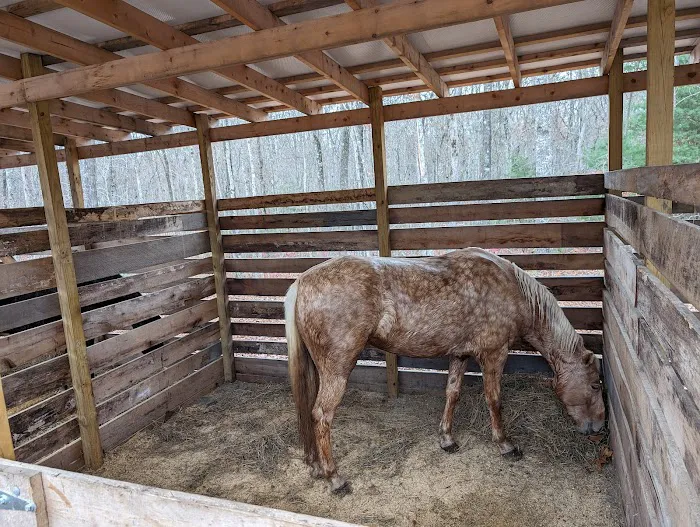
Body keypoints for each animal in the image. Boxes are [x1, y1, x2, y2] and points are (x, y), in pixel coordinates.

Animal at [284, 248, 605, 494]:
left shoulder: (459, 355)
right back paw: (334, 477)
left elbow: (453, 393)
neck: (511, 288)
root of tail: (303, 281)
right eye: (595, 385)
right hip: (337, 369)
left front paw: (447, 439)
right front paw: (505, 444)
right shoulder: (494, 354)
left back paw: (316, 466)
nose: (598, 427)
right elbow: (494, 400)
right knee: (322, 415)